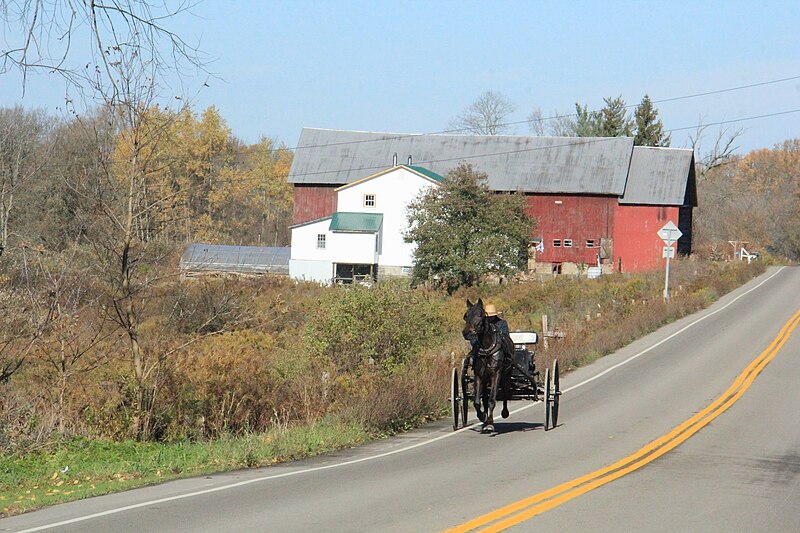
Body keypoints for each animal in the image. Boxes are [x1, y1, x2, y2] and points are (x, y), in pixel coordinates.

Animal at [460, 300, 516, 432]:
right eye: (465, 315)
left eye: (480, 315)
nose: (466, 332)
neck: (486, 348)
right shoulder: (479, 375)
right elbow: (477, 401)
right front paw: (483, 417)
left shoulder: (496, 374)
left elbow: (492, 400)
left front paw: (490, 423)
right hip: (486, 379)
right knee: (484, 397)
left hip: (506, 374)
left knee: (505, 392)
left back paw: (504, 412)